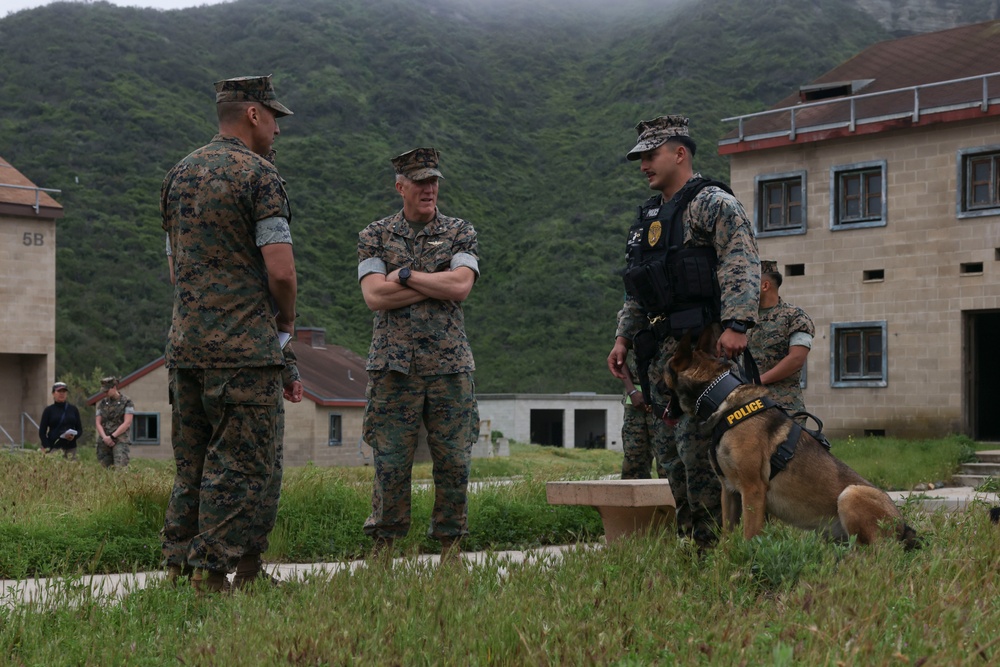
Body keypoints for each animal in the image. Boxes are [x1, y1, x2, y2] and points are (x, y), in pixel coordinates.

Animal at [660, 332, 916, 552]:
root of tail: (903, 527)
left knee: (875, 553)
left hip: (851, 494)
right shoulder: (729, 491)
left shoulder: (752, 490)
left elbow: (749, 535)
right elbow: (726, 537)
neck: (721, 399)